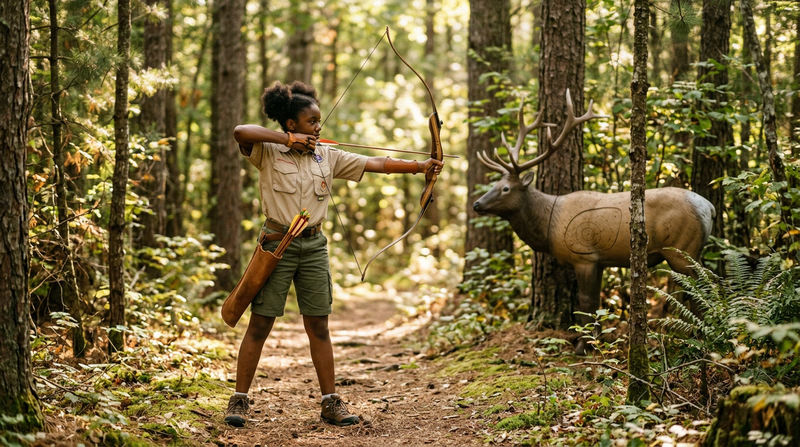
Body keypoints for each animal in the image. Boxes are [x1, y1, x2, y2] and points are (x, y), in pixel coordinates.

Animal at [472, 90, 716, 355]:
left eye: (505, 188)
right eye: (495, 184)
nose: (476, 204)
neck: (550, 223)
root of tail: (710, 208)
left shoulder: (584, 256)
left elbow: (586, 301)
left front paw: (583, 345)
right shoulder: (600, 261)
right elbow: (598, 301)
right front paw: (596, 341)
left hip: (681, 248)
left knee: (703, 285)